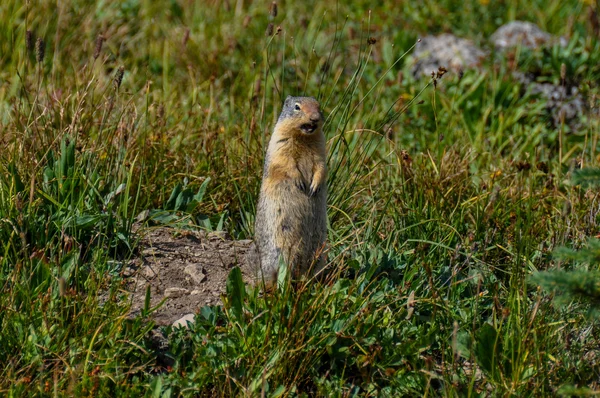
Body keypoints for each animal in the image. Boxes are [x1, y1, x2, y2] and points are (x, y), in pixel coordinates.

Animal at [248, 96, 328, 290]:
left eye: (319, 106)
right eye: (297, 107)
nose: (315, 118)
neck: (304, 138)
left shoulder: (321, 149)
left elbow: (321, 166)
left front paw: (314, 186)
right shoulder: (279, 142)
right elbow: (285, 162)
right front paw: (300, 182)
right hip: (281, 250)